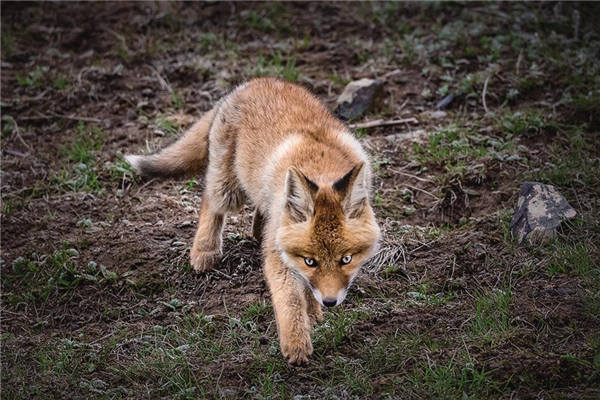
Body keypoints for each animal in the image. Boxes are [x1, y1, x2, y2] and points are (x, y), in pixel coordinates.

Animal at [125, 79, 380, 366]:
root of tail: (251, 83)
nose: (330, 302)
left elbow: (305, 289)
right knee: (209, 202)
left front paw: (313, 313)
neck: (321, 166)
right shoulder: (279, 256)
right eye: (310, 260)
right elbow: (290, 300)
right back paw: (205, 250)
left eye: (346, 259)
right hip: (228, 190)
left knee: (257, 214)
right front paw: (296, 343)